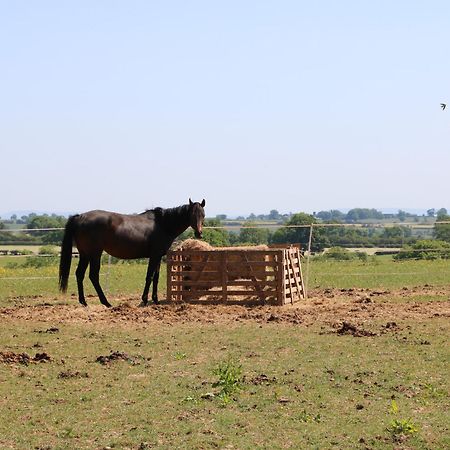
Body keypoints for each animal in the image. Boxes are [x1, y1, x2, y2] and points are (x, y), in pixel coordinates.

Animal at [58, 199, 206, 308]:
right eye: (192, 214)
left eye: (203, 214)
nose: (199, 233)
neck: (163, 224)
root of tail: (80, 217)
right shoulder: (154, 256)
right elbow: (149, 277)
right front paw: (145, 300)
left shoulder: (158, 256)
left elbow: (156, 278)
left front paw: (155, 300)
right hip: (95, 254)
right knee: (93, 276)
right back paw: (106, 302)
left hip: (85, 254)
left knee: (79, 274)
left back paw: (84, 302)